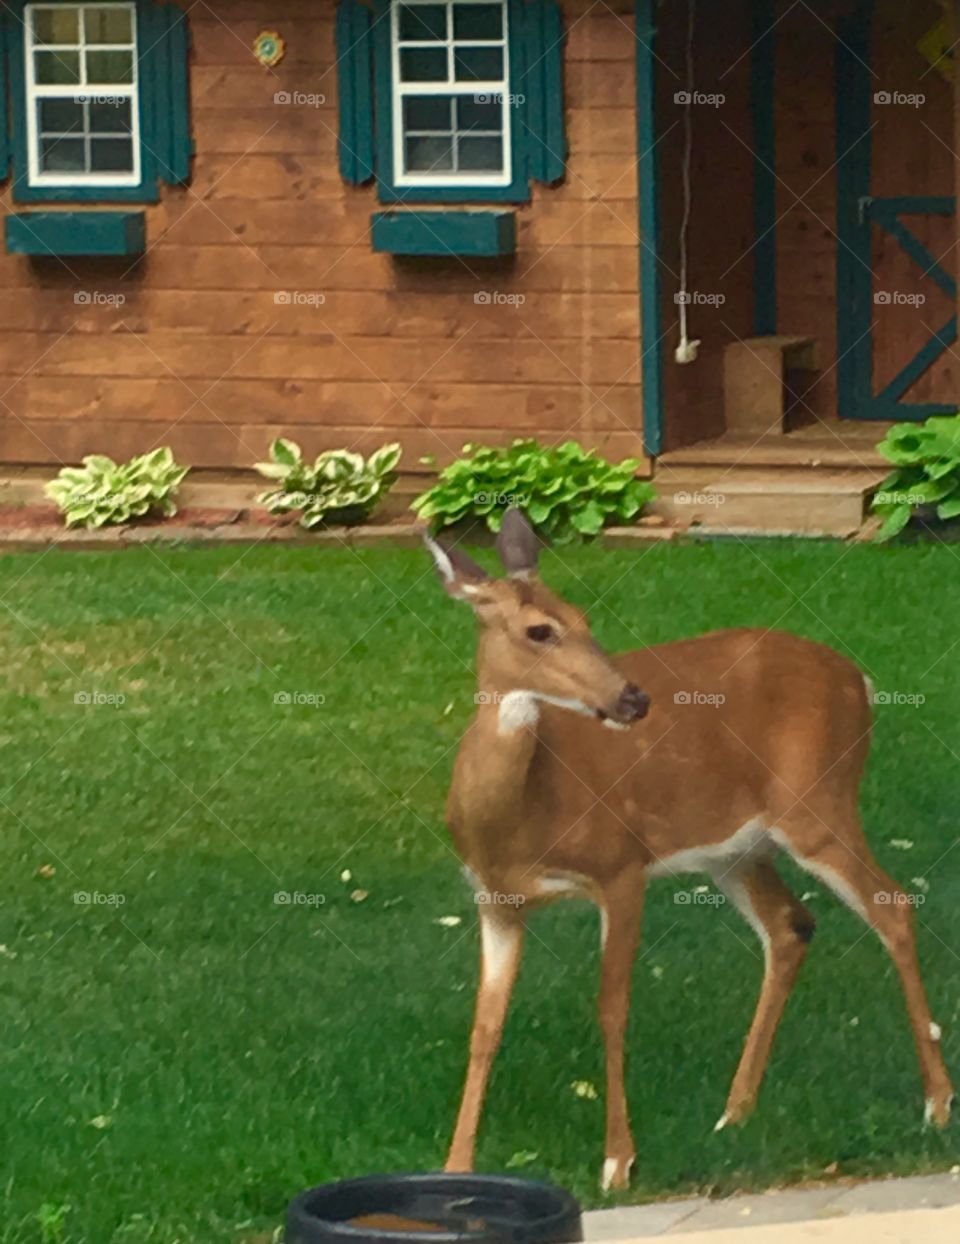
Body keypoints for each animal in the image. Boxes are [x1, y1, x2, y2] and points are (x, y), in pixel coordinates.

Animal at [424, 508, 954, 1192]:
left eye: (585, 618)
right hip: (733, 850)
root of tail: (859, 680)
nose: (633, 699)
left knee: (892, 905)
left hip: (817, 802)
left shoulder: (621, 866)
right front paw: (456, 1166)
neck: (520, 817)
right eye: (540, 630)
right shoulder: (496, 900)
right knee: (790, 925)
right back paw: (735, 1111)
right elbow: (484, 1026)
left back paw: (937, 1103)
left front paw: (617, 1160)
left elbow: (612, 1006)